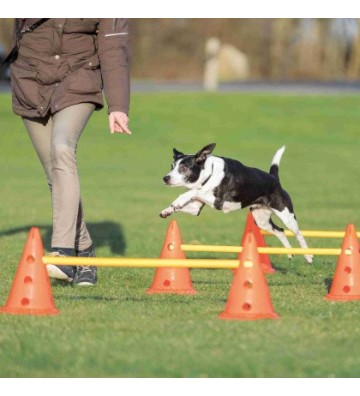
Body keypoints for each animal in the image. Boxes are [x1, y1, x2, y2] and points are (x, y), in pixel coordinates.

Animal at [160, 144, 312, 264]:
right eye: (172, 166)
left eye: (184, 167)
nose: (165, 178)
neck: (209, 173)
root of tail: (274, 178)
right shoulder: (195, 208)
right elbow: (191, 197)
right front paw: (168, 210)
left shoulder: (217, 201)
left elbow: (194, 191)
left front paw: (178, 201)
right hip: (261, 220)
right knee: (280, 231)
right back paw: (289, 253)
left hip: (286, 215)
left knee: (298, 234)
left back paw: (308, 256)